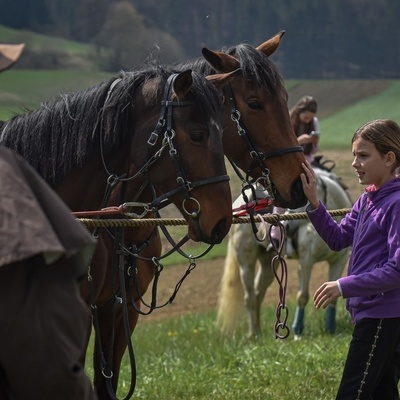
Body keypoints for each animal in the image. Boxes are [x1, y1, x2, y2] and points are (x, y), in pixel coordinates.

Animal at [217, 167, 352, 340]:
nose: (285, 226)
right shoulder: (306, 261)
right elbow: (302, 296)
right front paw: (298, 332)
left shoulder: (338, 261)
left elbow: (334, 297)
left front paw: (331, 329)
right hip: (246, 261)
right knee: (250, 298)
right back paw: (253, 334)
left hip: (269, 264)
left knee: (259, 293)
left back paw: (259, 332)